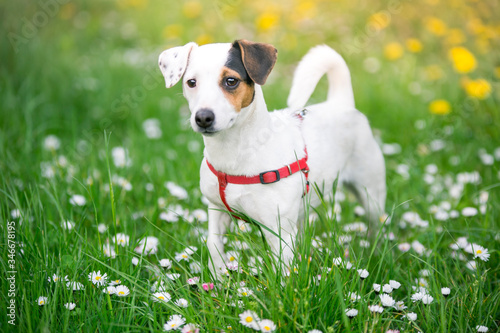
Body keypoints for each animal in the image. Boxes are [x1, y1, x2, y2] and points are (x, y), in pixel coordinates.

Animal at [158, 39, 384, 274]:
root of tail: (341, 103)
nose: (203, 117)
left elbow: (283, 271)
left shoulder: (279, 232)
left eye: (231, 81)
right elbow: (213, 245)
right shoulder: (216, 210)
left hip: (371, 193)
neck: (236, 152)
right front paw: (219, 277)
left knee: (377, 224)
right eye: (191, 82)